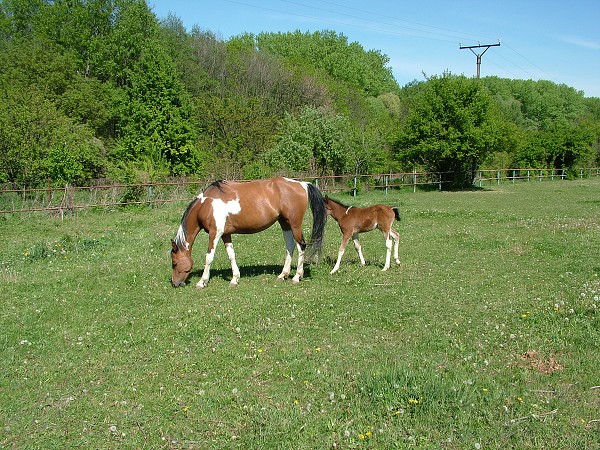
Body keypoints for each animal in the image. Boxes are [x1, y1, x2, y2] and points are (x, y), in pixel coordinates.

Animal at [171, 177, 326, 288]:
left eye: (174, 263)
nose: (175, 283)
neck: (206, 204)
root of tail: (303, 184)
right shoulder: (226, 234)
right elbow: (231, 255)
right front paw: (235, 279)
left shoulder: (215, 233)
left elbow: (209, 257)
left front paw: (202, 282)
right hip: (285, 224)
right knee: (290, 246)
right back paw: (283, 275)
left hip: (294, 225)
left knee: (301, 246)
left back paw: (297, 277)